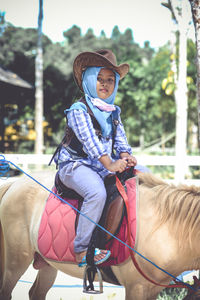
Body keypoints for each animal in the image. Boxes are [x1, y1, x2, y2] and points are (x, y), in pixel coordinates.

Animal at [0, 171, 200, 300]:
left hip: (48, 263)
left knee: (36, 293)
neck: (167, 228)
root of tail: (15, 183)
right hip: (16, 261)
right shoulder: (137, 288)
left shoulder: (152, 290)